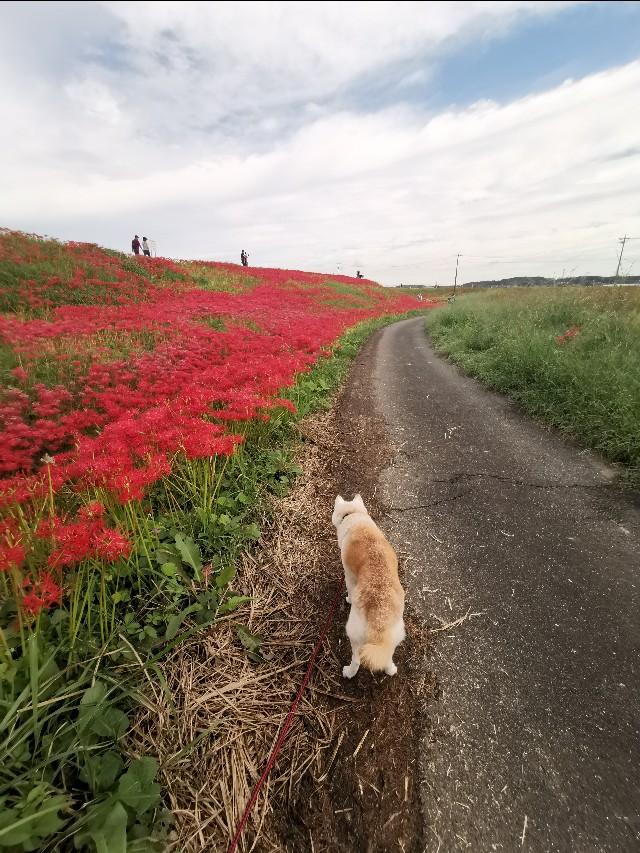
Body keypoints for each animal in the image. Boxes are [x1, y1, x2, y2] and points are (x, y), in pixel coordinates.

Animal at [330, 492, 404, 680]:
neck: (354, 516)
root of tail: (379, 620)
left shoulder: (349, 575)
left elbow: (349, 589)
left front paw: (348, 599)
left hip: (354, 634)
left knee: (357, 660)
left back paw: (348, 672)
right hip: (394, 638)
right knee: (387, 658)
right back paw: (391, 669)